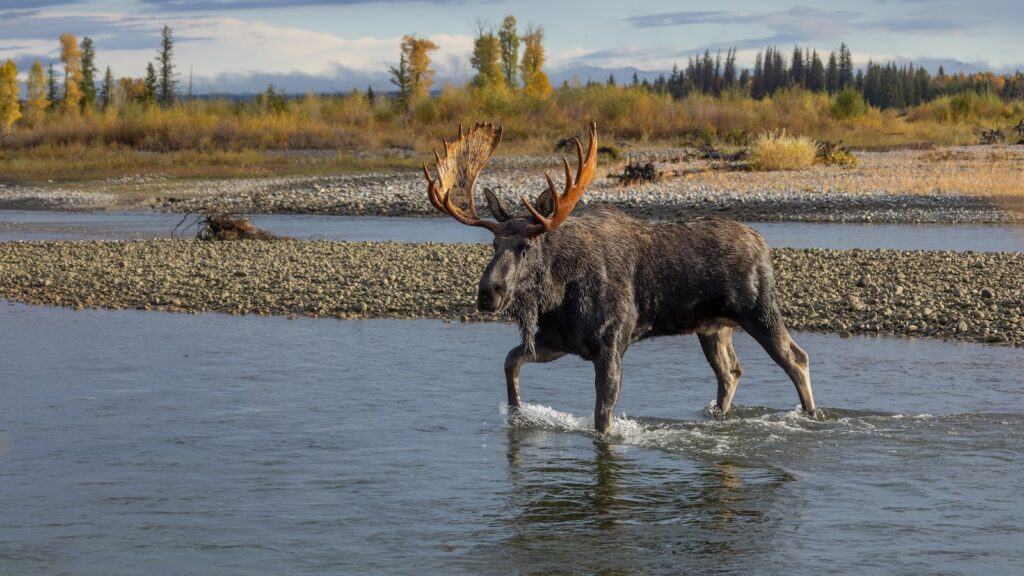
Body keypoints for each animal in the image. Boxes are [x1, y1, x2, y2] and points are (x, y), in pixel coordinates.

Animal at [421, 121, 815, 434]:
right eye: (493, 243)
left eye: (526, 246)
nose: (489, 292)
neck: (559, 293)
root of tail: (762, 243)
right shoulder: (559, 340)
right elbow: (510, 361)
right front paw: (517, 412)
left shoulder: (610, 345)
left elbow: (603, 420)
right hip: (712, 327)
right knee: (730, 372)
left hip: (759, 310)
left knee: (796, 358)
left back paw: (811, 416)